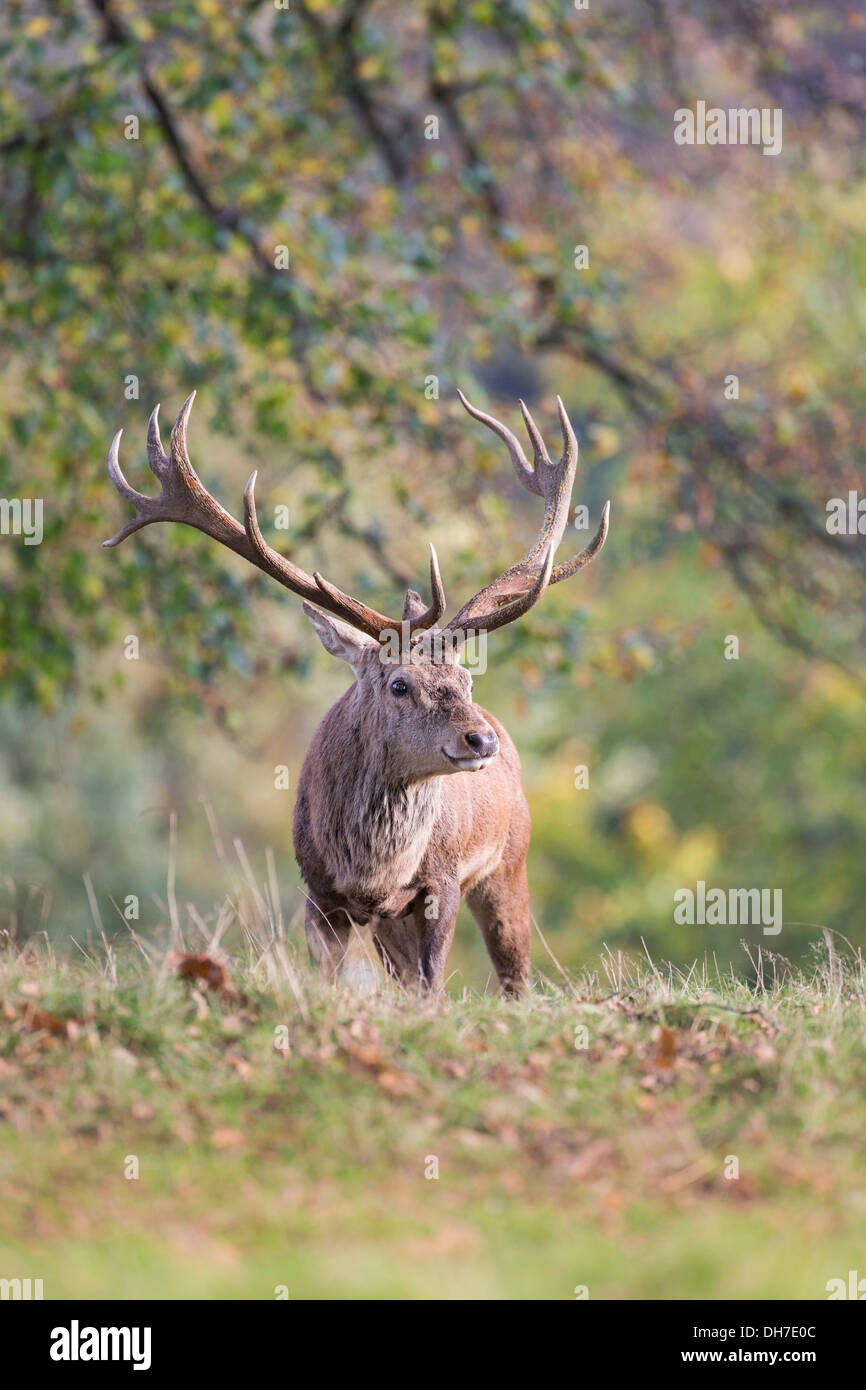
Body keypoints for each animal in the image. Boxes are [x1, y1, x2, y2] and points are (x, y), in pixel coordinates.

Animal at [103, 390, 609, 996]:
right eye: (399, 683)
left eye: (467, 680)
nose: (481, 739)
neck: (372, 872)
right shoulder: (318, 890)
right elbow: (330, 978)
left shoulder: (443, 883)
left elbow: (434, 985)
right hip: (401, 919)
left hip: (511, 861)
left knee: (515, 977)